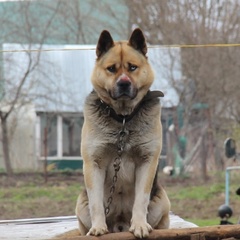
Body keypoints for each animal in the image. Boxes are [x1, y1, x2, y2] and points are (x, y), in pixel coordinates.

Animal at [75, 28, 171, 238]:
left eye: (132, 67)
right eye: (111, 68)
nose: (124, 83)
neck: (123, 118)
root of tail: (119, 225)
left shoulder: (146, 161)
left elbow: (141, 199)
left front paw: (140, 225)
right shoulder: (94, 163)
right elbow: (96, 203)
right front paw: (98, 227)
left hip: (162, 201)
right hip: (80, 204)